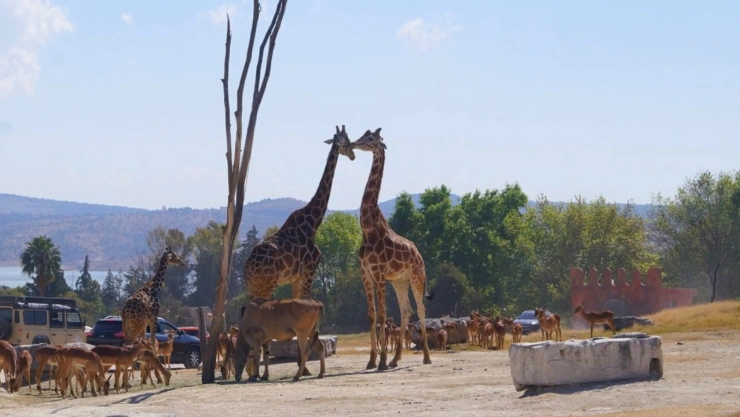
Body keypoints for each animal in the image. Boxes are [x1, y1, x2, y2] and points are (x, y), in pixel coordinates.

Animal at [244, 125, 355, 301]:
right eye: (346, 141)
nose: (353, 155)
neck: (314, 221)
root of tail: (248, 269)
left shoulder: (296, 278)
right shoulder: (309, 272)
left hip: (255, 288)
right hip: (266, 285)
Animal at [350, 128, 434, 370]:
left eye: (370, 138)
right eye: (363, 135)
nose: (353, 143)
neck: (369, 229)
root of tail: (420, 255)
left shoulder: (378, 274)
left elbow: (381, 315)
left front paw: (381, 362)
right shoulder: (365, 274)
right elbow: (372, 315)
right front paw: (371, 360)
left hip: (416, 276)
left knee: (421, 309)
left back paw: (426, 356)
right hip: (399, 280)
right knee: (406, 310)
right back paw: (396, 359)